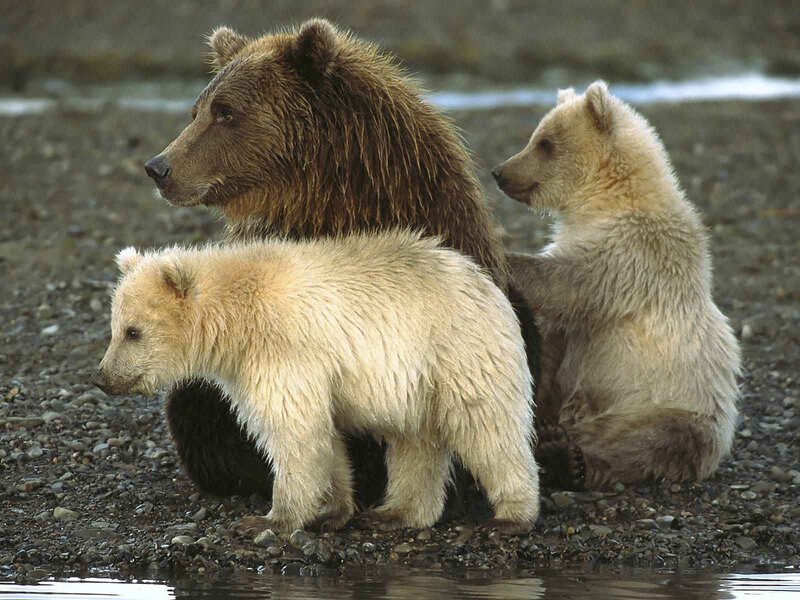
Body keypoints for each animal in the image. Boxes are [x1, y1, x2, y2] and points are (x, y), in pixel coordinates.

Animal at [93, 232, 541, 533]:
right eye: (114, 327)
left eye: (133, 332)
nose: (101, 377)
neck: (236, 323)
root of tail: (487, 283)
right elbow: (324, 438)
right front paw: (333, 509)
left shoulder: (283, 351)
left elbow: (294, 431)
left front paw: (268, 519)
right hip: (415, 384)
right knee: (416, 442)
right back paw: (396, 513)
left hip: (458, 353)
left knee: (488, 430)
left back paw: (511, 516)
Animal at [491, 81, 741, 488]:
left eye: (545, 143)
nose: (500, 172)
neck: (604, 199)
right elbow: (553, 338)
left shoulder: (633, 252)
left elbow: (569, 283)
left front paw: (508, 258)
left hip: (673, 401)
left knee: (651, 440)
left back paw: (565, 458)